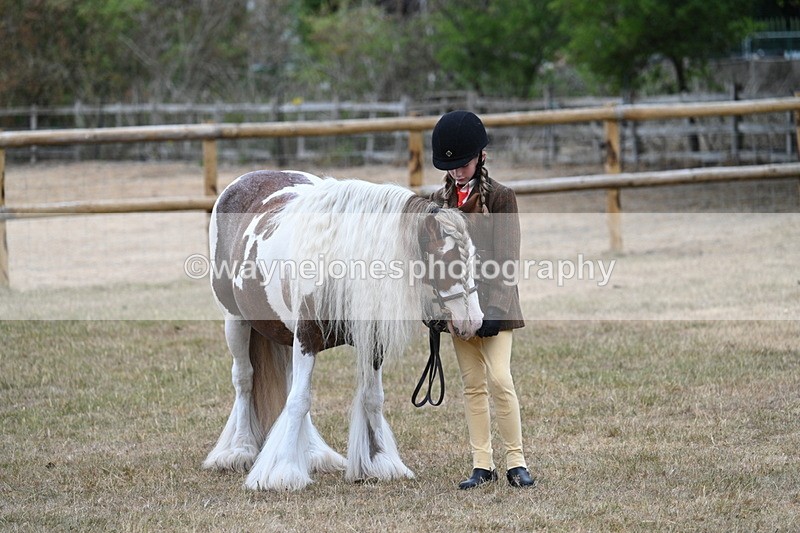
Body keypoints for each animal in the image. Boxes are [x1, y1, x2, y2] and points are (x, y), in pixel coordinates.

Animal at [202, 170, 483, 491]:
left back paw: (313, 453)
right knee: (244, 380)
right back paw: (240, 449)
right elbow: (299, 400)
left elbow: (372, 397)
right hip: (236, 322)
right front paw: (284, 471)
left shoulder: (371, 340)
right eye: (447, 261)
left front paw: (380, 461)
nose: (474, 322)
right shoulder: (306, 337)